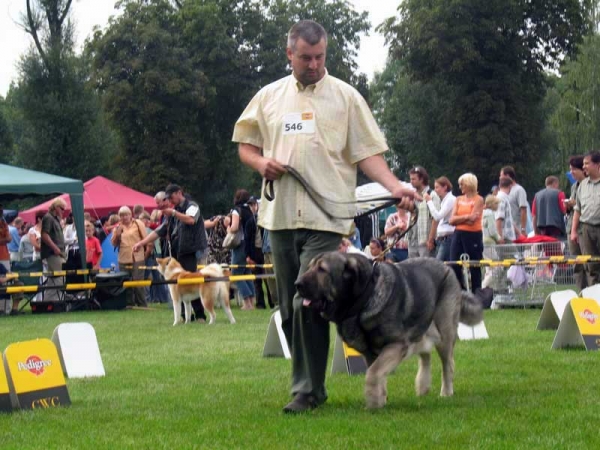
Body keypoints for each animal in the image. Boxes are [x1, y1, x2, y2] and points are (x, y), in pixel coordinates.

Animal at [296, 253, 482, 408]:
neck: (365, 296)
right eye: (310, 267)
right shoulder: (371, 354)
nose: (297, 284)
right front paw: (382, 398)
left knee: (447, 364)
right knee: (425, 355)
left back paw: (446, 392)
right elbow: (377, 372)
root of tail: (446, 267)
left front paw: (373, 401)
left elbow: (373, 373)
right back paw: (423, 386)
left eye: (322, 269)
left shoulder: (396, 345)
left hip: (444, 333)